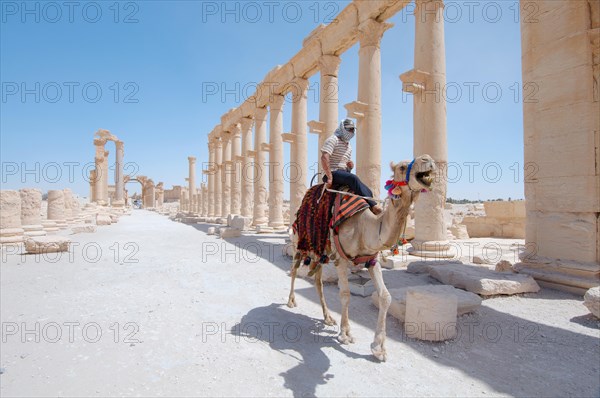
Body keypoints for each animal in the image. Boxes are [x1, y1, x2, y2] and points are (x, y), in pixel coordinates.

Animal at [288, 154, 436, 362]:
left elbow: (385, 296)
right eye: (402, 167)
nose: (427, 159)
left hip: (321, 252)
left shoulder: (372, 259)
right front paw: (345, 334)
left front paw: (378, 348)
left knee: (318, 281)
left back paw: (328, 318)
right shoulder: (341, 259)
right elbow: (345, 293)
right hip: (298, 243)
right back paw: (291, 301)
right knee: (294, 269)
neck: (364, 227)